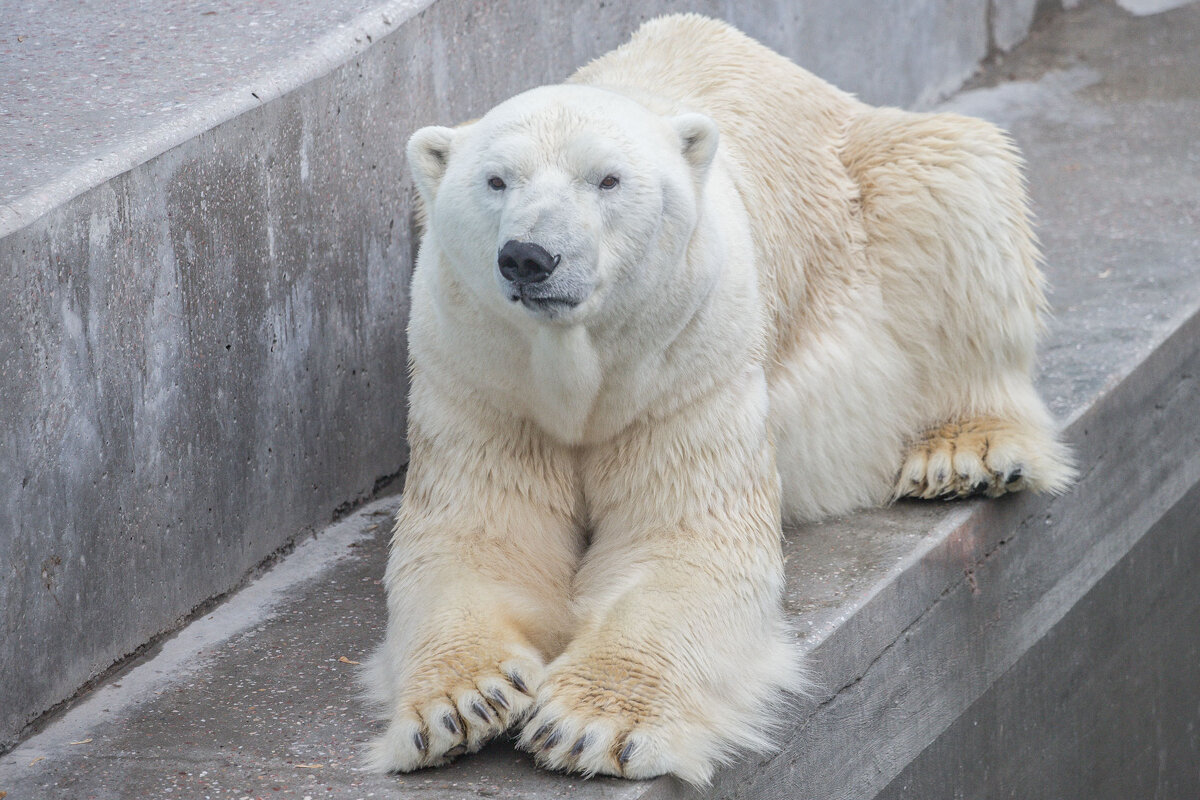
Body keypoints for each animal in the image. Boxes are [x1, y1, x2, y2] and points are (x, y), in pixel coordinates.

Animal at [362, 14, 1070, 786]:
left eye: (607, 179)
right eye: (495, 179)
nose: (529, 256)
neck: (578, 370)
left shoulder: (688, 368)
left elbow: (685, 545)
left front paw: (588, 727)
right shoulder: (480, 379)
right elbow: (475, 542)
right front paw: (461, 707)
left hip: (871, 189)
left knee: (954, 184)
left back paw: (962, 452)